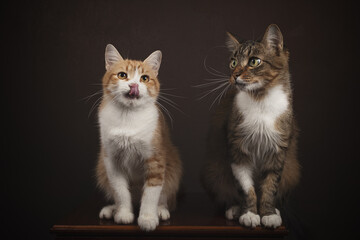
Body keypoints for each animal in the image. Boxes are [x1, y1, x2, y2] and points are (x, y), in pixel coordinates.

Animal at [95, 44, 181, 232]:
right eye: (122, 75)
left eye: (145, 78)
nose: (134, 84)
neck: (128, 117)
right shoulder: (111, 161)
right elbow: (120, 191)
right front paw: (123, 213)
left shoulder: (156, 159)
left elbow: (151, 193)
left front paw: (148, 218)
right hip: (102, 168)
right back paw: (111, 209)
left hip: (173, 167)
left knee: (164, 196)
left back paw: (161, 210)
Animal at [202, 24, 300, 229]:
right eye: (233, 63)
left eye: (254, 61)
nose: (235, 76)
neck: (260, 101)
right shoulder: (238, 149)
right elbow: (246, 189)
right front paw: (249, 214)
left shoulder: (278, 151)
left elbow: (270, 186)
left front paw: (268, 214)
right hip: (213, 172)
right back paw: (234, 209)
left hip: (292, 171)